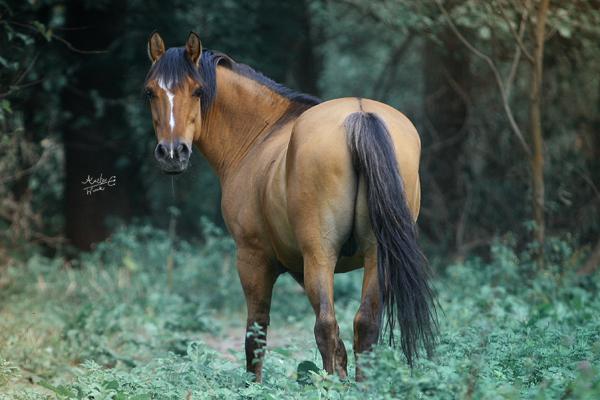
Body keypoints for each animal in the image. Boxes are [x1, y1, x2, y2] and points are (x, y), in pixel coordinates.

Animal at [144, 31, 436, 382]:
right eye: (150, 92)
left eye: (198, 91)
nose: (172, 153)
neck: (260, 134)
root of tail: (359, 115)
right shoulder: (297, 264)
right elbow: (341, 348)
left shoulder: (254, 259)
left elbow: (255, 335)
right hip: (374, 255)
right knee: (364, 325)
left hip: (320, 255)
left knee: (325, 326)